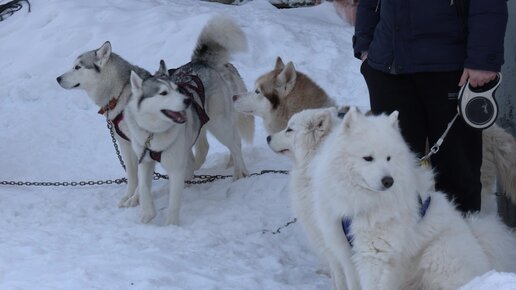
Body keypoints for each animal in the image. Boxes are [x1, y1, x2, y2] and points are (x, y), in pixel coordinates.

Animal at [57, 16, 253, 224]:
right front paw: (130, 196)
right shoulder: (127, 144)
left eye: (77, 67)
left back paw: (240, 172)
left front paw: (136, 199)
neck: (120, 91)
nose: (58, 78)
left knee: (235, 144)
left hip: (219, 123)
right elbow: (133, 176)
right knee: (203, 149)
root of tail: (201, 62)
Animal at [310, 108, 516, 290]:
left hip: (438, 254)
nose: (388, 181)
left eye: (389, 158)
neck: (360, 202)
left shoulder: (375, 256)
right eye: (368, 158)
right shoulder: (346, 254)